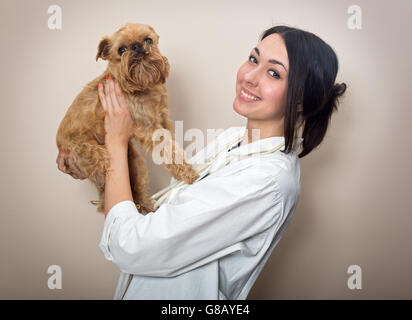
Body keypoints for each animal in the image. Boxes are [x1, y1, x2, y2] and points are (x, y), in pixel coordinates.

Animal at [56, 23, 200, 215]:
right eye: (121, 50)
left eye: (148, 40)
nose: (137, 47)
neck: (144, 87)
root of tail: (59, 143)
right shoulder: (149, 128)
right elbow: (169, 151)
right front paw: (189, 174)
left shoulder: (163, 119)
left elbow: (173, 147)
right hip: (90, 152)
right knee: (104, 184)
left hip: (135, 163)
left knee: (137, 193)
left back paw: (149, 207)